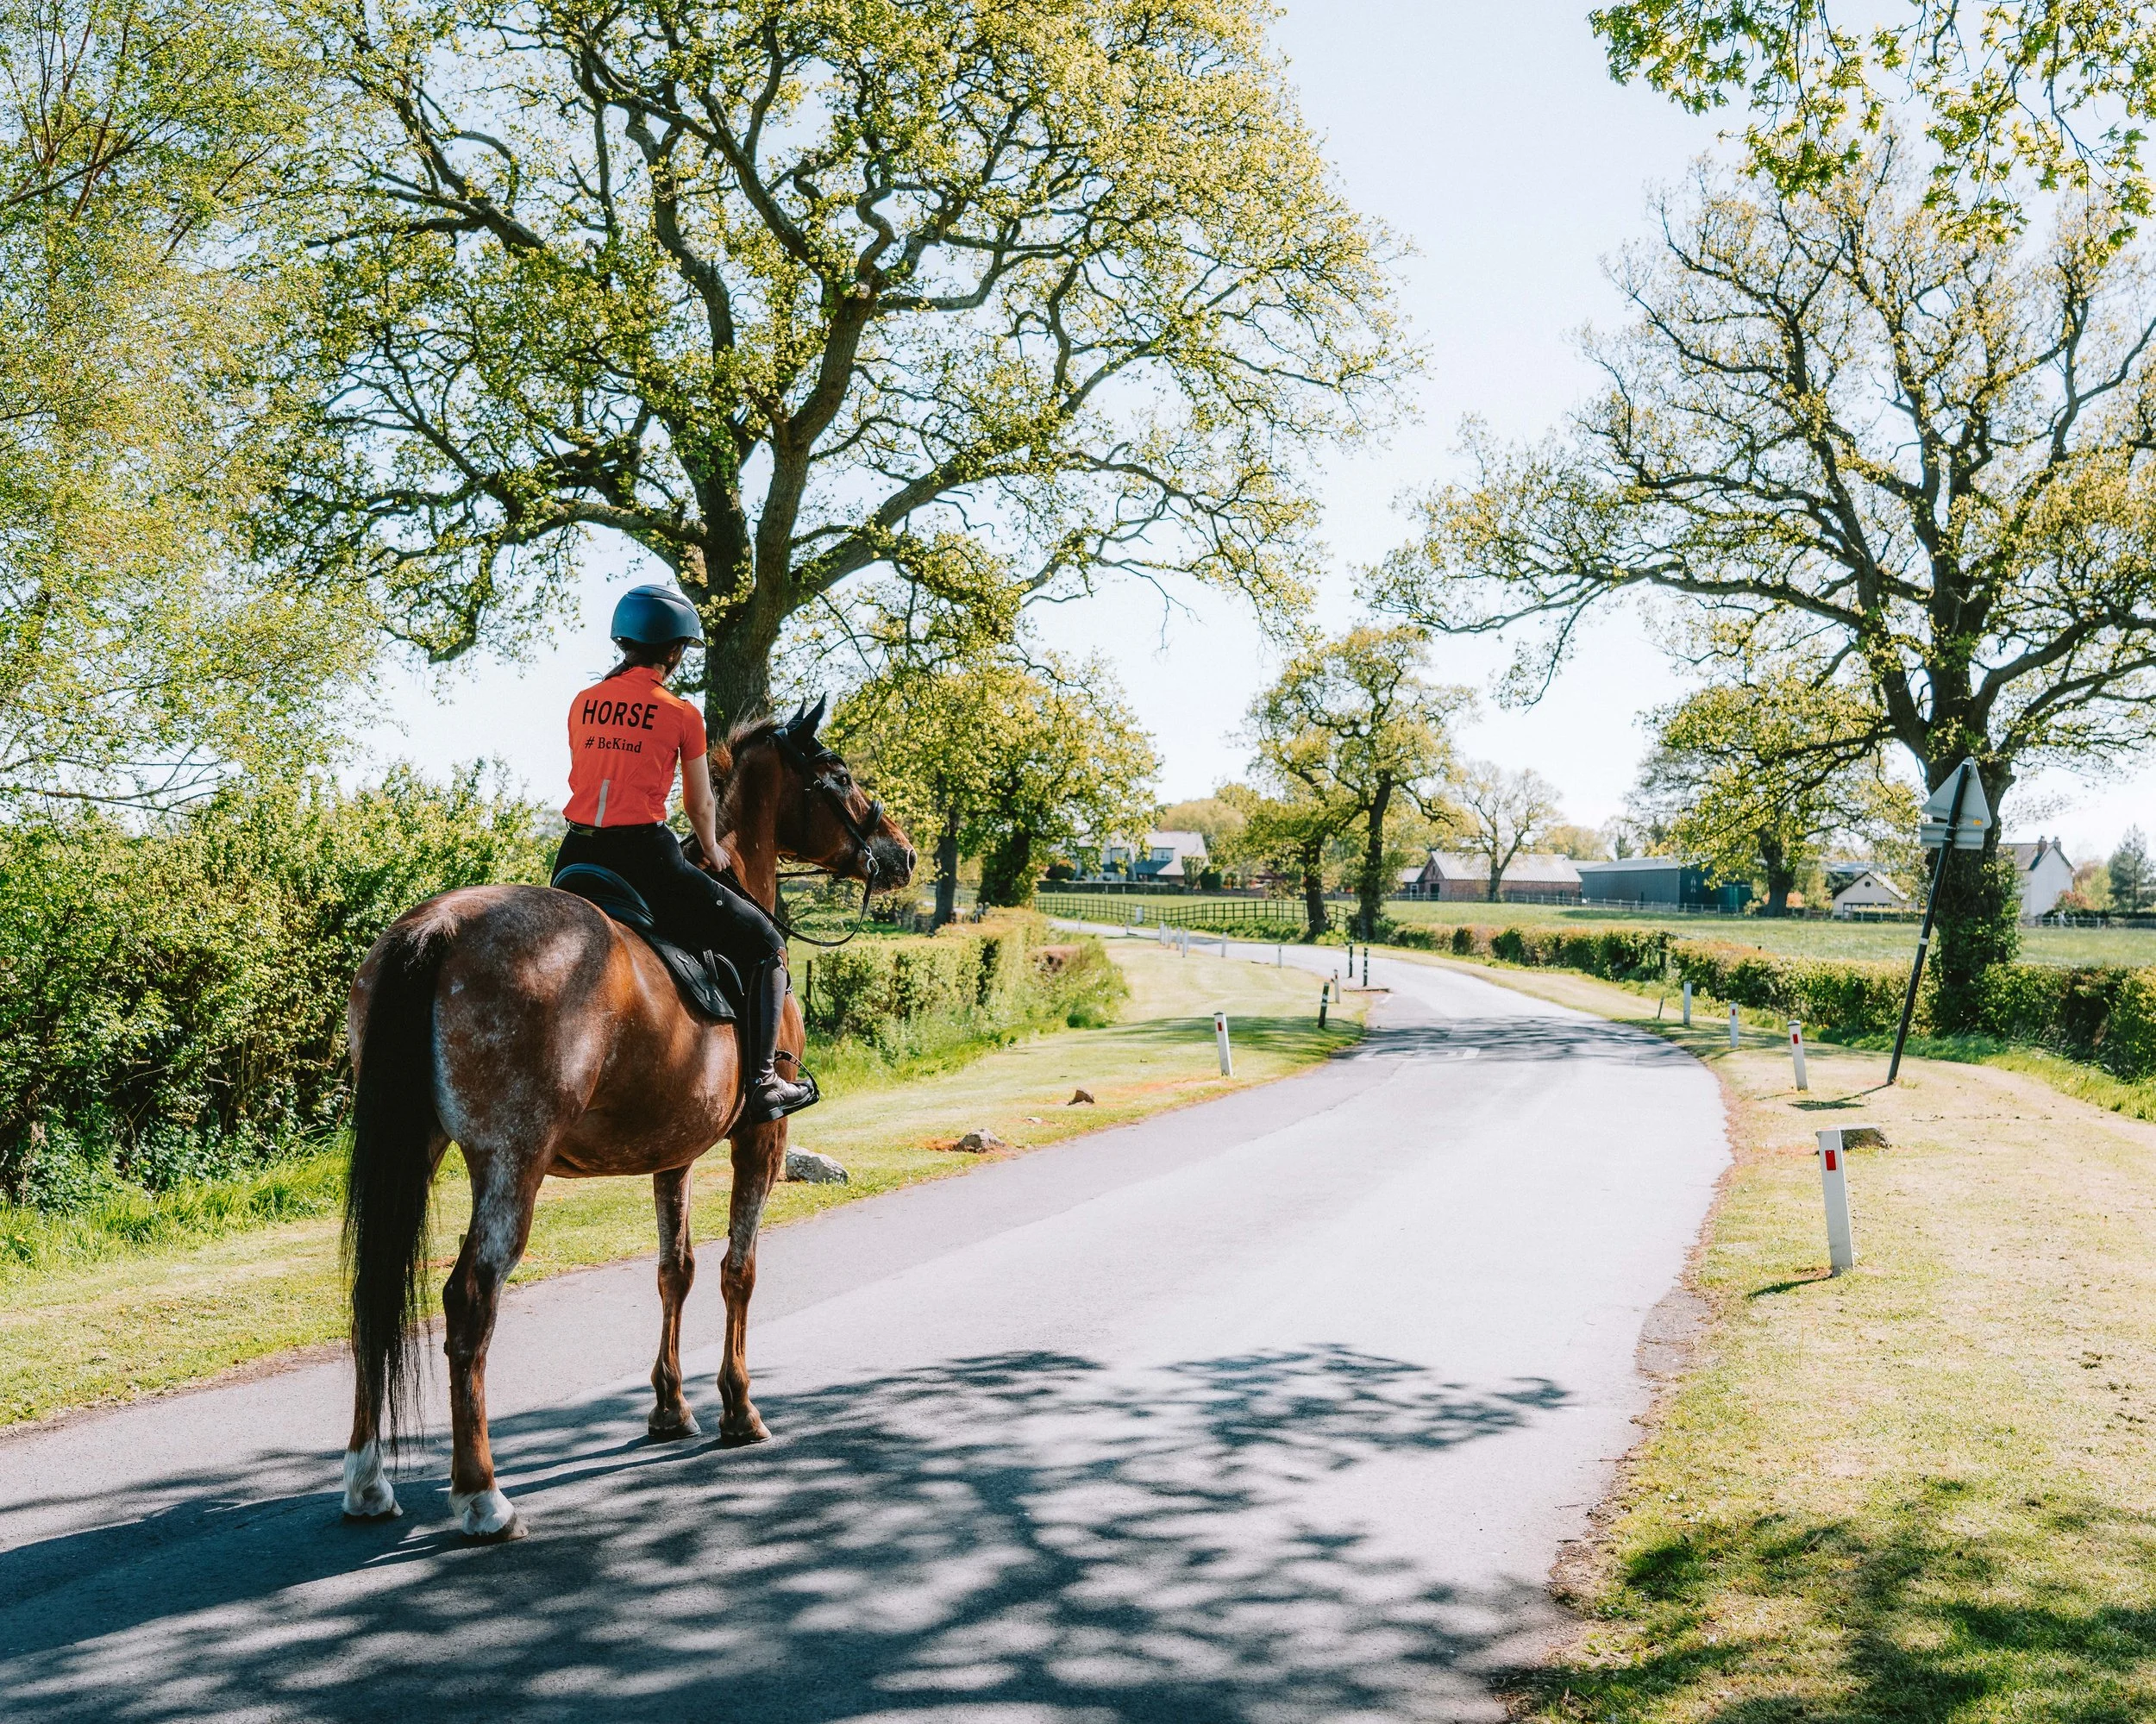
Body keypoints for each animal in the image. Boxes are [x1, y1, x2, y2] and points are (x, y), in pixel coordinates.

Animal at [338, 699, 915, 1540]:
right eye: (837, 777)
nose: (901, 852)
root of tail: (436, 930)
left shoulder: (672, 1151)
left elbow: (675, 1270)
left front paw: (670, 1405)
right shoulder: (760, 1139)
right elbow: (738, 1271)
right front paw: (739, 1407)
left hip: (413, 1149)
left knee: (370, 1296)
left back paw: (366, 1479)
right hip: (512, 1164)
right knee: (470, 1301)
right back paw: (481, 1494)